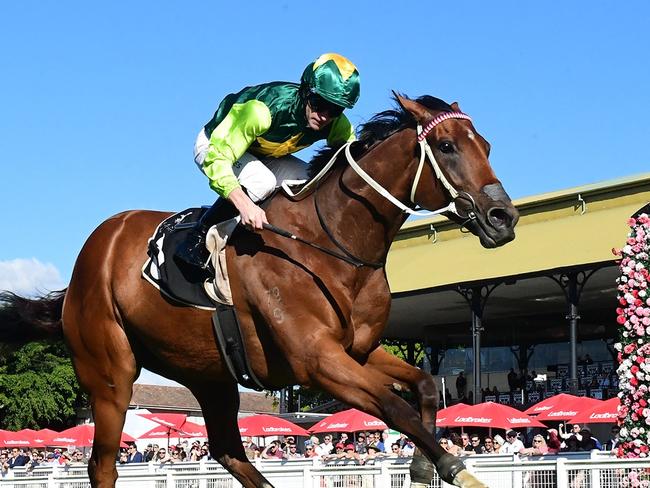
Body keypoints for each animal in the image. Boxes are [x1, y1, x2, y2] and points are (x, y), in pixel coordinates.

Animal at [1, 95, 516, 488]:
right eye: (447, 146)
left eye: (487, 145)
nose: (503, 218)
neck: (332, 244)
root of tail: (90, 256)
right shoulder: (317, 361)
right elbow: (394, 407)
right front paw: (453, 466)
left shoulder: (358, 350)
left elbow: (425, 385)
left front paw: (423, 463)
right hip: (111, 376)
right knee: (103, 465)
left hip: (209, 375)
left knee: (228, 450)